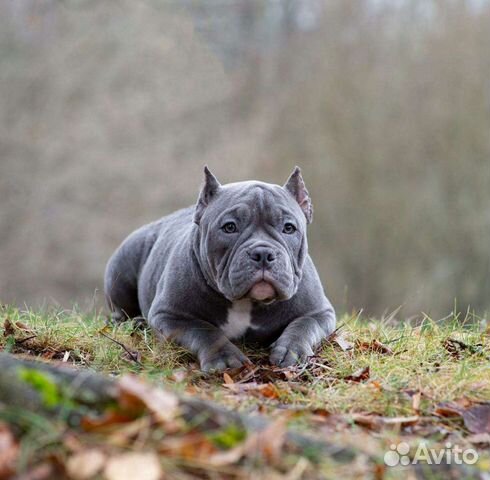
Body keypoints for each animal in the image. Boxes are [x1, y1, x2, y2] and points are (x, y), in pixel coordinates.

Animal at [103, 167, 334, 374]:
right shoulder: (169, 315)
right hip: (122, 266)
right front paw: (224, 358)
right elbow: (203, 331)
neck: (246, 302)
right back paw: (136, 322)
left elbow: (303, 325)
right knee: (120, 313)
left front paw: (291, 350)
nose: (263, 253)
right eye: (229, 227)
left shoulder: (320, 312)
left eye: (289, 228)